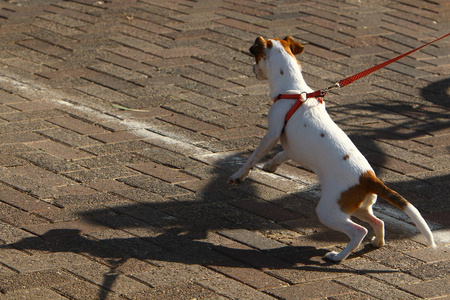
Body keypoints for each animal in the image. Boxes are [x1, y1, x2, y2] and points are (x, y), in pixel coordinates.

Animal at [229, 36, 436, 262]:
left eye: (256, 58)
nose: (252, 69)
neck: (294, 92)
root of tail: (369, 178)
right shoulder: (291, 148)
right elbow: (281, 155)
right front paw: (271, 166)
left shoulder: (272, 133)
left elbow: (253, 157)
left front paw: (238, 175)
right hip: (356, 207)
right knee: (378, 222)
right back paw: (377, 242)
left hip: (329, 211)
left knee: (359, 231)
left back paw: (338, 256)